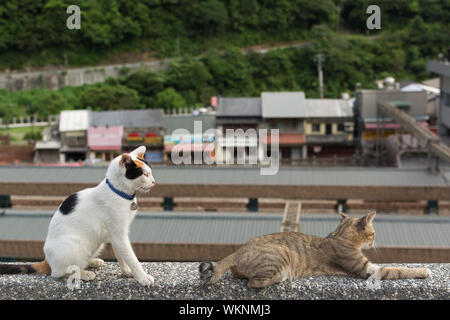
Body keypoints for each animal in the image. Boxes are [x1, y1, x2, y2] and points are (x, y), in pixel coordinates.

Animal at [0, 146, 156, 286]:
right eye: (144, 174)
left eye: (150, 173)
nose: (154, 182)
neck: (120, 193)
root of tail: (47, 261)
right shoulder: (119, 234)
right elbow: (131, 257)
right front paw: (142, 277)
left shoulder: (116, 236)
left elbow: (121, 256)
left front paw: (127, 271)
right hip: (74, 245)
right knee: (59, 273)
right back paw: (84, 273)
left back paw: (93, 261)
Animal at [199, 211, 430, 288]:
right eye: (372, 234)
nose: (374, 243)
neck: (339, 236)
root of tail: (237, 251)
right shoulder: (368, 269)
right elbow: (400, 270)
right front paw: (425, 270)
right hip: (282, 253)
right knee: (254, 283)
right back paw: (281, 278)